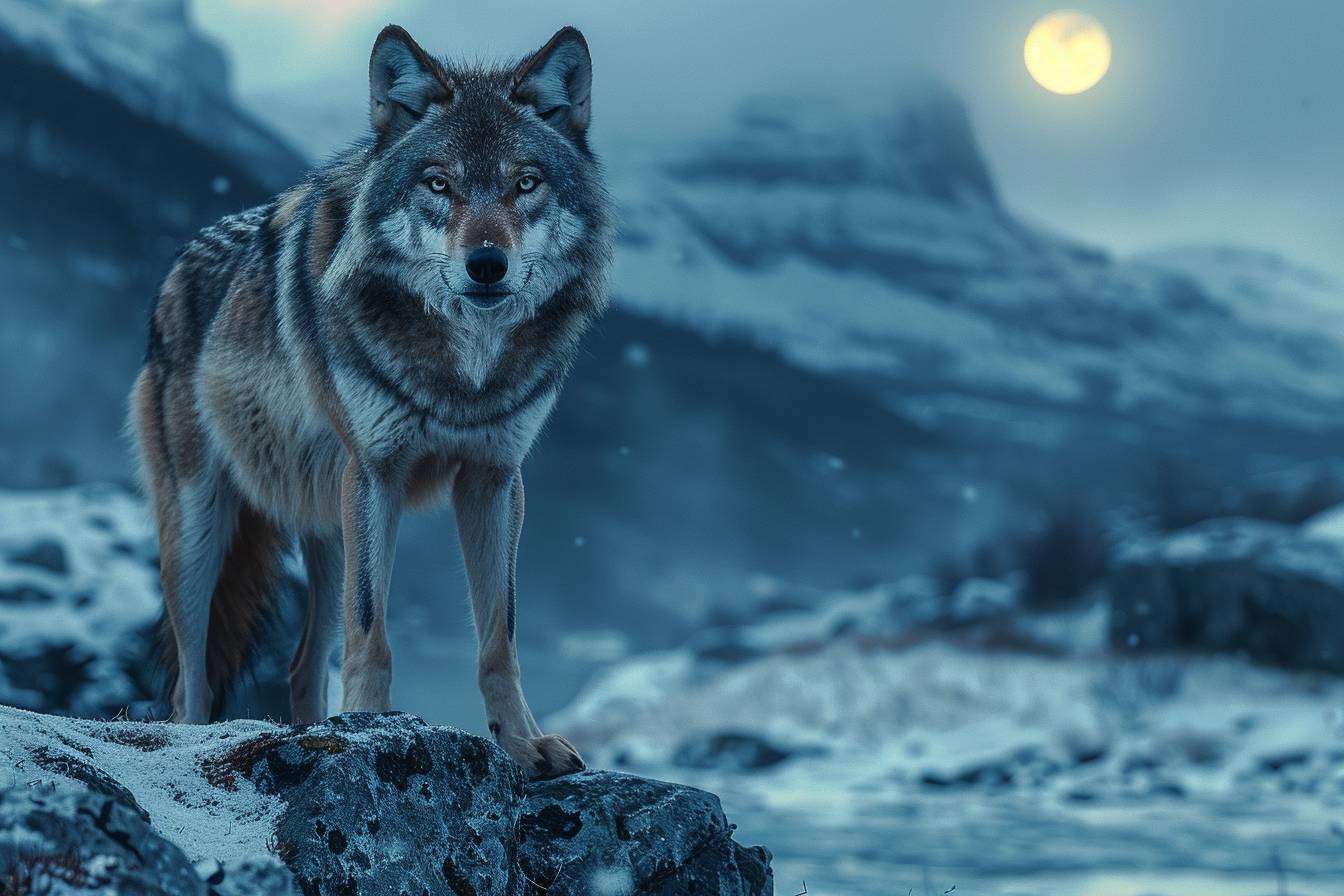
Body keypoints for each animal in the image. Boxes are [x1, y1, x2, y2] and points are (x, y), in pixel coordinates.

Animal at [128, 25, 612, 779]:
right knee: (191, 681)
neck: (462, 372)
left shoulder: (495, 479)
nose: (486, 265)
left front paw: (522, 743)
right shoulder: (377, 473)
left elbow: (498, 637)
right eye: (439, 183)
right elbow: (373, 631)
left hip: (329, 530)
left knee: (300, 665)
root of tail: (172, 275)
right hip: (201, 531)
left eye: (524, 183)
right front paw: (374, 727)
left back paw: (314, 730)